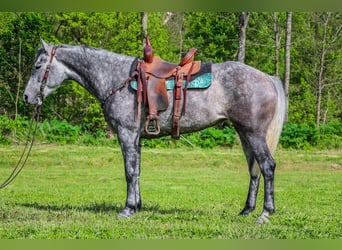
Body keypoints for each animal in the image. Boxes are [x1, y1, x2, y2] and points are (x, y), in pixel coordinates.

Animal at [23, 40, 286, 224]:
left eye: (38, 66)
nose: (26, 97)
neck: (116, 78)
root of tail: (268, 78)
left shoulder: (127, 134)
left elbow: (129, 172)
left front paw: (128, 209)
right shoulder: (136, 138)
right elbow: (137, 171)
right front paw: (137, 206)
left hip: (254, 134)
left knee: (267, 166)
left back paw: (265, 213)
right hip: (244, 134)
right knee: (254, 170)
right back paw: (246, 210)